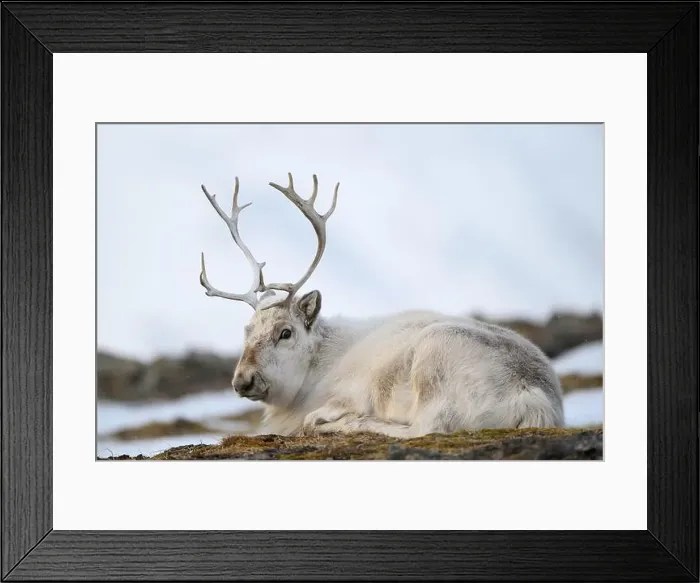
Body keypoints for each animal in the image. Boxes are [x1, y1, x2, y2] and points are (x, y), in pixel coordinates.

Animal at [198, 173, 565, 437]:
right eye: (247, 331)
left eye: (285, 332)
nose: (242, 381)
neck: (313, 371)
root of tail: (537, 400)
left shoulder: (345, 394)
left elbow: (319, 415)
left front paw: (330, 419)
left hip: (435, 356)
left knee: (426, 429)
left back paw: (349, 423)